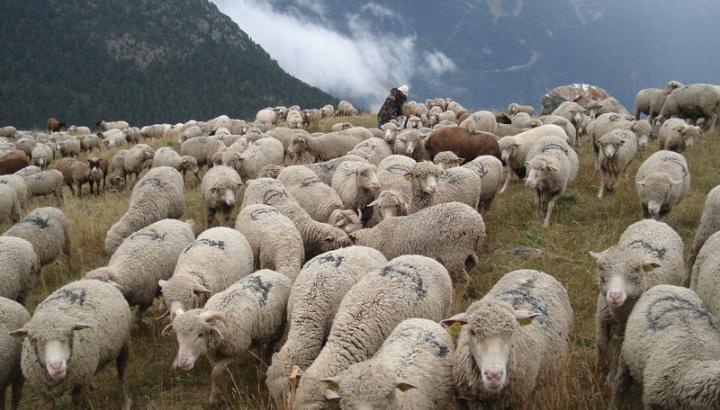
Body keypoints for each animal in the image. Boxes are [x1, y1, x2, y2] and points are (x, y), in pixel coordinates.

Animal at [9, 279, 131, 409]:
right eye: (33, 339)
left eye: (69, 335)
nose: (56, 366)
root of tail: (95, 280)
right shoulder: (43, 392)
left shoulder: (79, 383)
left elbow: (77, 401)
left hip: (124, 344)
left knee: (121, 372)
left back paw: (126, 402)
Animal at [167, 270, 291, 404]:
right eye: (178, 335)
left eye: (200, 334)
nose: (183, 362)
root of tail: (273, 272)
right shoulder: (212, 354)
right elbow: (219, 372)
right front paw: (218, 393)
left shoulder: (236, 353)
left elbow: (215, 373)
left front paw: (215, 399)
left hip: (279, 328)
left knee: (270, 347)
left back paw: (262, 369)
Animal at [350, 202, 485, 297]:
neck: (371, 238)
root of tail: (479, 223)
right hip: (466, 251)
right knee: (472, 264)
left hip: (454, 252)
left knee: (463, 280)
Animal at [589, 218, 684, 379]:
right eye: (601, 267)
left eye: (635, 269)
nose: (615, 296)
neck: (621, 314)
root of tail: (654, 221)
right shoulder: (601, 320)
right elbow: (601, 348)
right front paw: (597, 375)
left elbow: (619, 357)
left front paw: (610, 377)